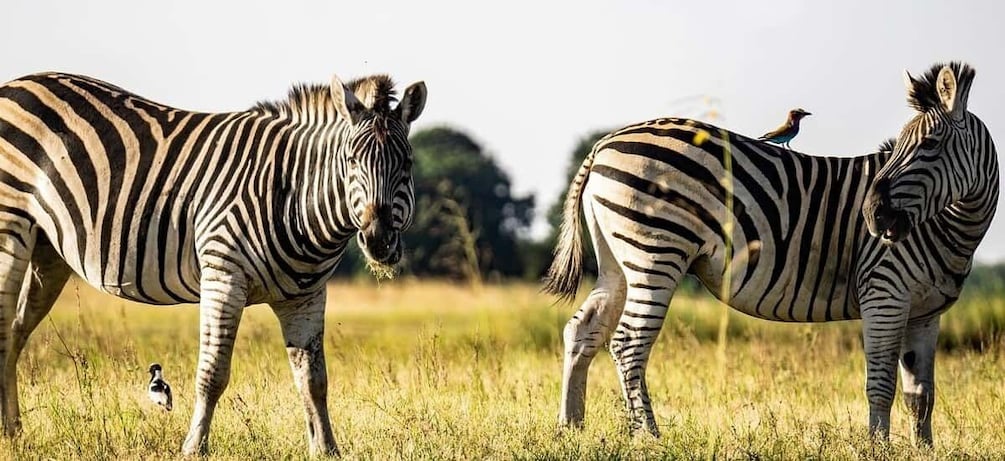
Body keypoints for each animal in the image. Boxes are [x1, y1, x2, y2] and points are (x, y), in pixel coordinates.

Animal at [0, 71, 426, 455]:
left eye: (406, 164)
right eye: (351, 161)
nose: (379, 241)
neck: (292, 194)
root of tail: (15, 84)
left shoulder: (305, 296)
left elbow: (313, 380)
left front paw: (326, 449)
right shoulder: (223, 276)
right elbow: (213, 374)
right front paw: (194, 447)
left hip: (48, 251)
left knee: (17, 331)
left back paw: (14, 431)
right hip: (10, 228)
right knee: (5, 327)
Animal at [544, 62, 997, 446]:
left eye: (931, 144)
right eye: (899, 145)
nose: (872, 215)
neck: (951, 226)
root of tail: (604, 143)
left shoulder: (925, 313)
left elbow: (921, 394)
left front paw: (924, 450)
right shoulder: (884, 293)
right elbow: (882, 384)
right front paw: (878, 448)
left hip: (618, 262)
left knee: (583, 331)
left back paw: (572, 427)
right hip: (655, 253)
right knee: (629, 342)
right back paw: (648, 437)